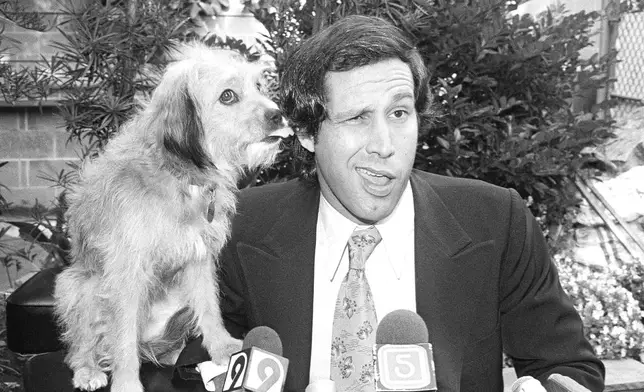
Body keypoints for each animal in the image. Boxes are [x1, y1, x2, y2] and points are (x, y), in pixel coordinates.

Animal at [54, 43, 290, 392]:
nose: (278, 114)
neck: (180, 175)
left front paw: (222, 348)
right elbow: (122, 338)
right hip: (80, 288)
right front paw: (127, 383)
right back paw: (89, 370)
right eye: (228, 95)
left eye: (258, 86)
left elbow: (210, 307)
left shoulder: (200, 256)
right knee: (82, 345)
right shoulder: (126, 272)